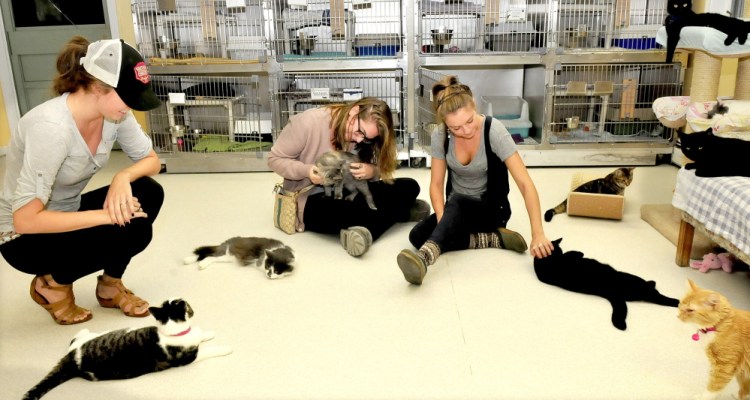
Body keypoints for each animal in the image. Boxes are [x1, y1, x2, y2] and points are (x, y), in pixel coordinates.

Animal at [23, 298, 232, 398]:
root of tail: (74, 361)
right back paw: (84, 327)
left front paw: (208, 333)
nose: (179, 297)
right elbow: (207, 349)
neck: (173, 332)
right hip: (90, 339)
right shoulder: (189, 357)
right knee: (76, 338)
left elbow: (200, 334)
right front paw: (226, 348)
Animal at [536, 239, 680, 330]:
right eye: (558, 250)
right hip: (636, 284)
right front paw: (577, 253)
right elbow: (572, 253)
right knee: (657, 295)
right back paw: (677, 301)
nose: (560, 252)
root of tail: (613, 291)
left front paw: (580, 253)